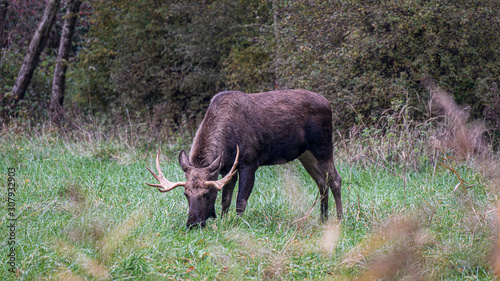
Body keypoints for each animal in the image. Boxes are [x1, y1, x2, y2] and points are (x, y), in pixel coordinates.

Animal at [147, 89, 344, 228]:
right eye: (185, 194)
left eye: (207, 193)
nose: (192, 224)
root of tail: (328, 103)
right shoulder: (226, 168)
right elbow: (226, 199)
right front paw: (224, 221)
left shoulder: (249, 162)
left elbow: (240, 201)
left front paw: (238, 224)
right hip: (305, 153)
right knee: (321, 181)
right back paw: (323, 218)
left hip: (323, 145)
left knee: (335, 179)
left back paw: (340, 219)